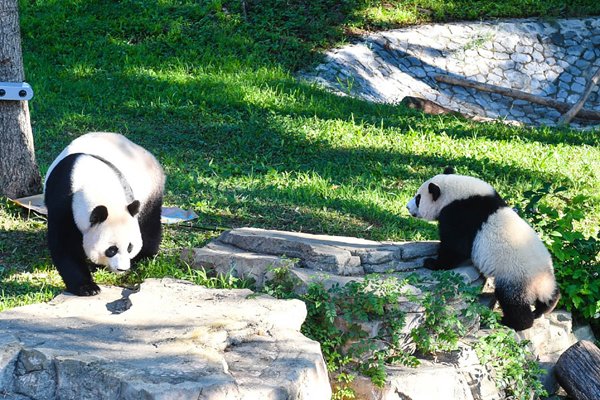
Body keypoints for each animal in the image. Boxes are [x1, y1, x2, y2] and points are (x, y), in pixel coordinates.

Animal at [43, 133, 166, 296]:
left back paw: (144, 257)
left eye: (130, 247)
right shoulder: (62, 201)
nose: (122, 269)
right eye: (111, 250)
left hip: (150, 189)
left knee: (149, 221)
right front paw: (88, 288)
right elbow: (65, 244)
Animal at [406, 167, 560, 330]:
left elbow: (456, 247)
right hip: (545, 276)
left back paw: (513, 322)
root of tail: (541, 285)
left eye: (418, 198)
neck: (456, 194)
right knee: (552, 295)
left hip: (515, 276)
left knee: (512, 301)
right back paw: (544, 308)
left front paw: (432, 263)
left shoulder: (460, 215)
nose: (407, 207)